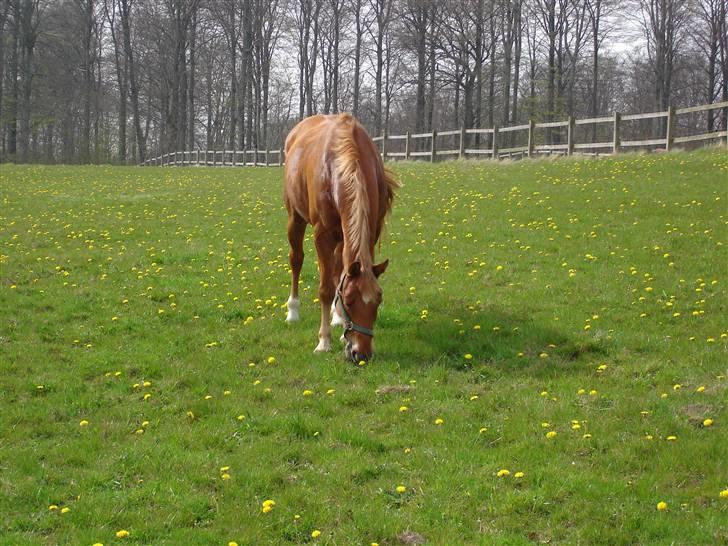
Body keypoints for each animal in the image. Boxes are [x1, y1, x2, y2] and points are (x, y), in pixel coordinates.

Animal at [284, 113, 398, 362]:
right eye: (349, 301)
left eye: (378, 301)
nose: (361, 353)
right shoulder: (322, 235)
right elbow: (326, 289)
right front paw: (323, 341)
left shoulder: (371, 232)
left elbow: (340, 276)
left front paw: (338, 323)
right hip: (295, 218)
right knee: (296, 260)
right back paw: (293, 311)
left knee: (338, 268)